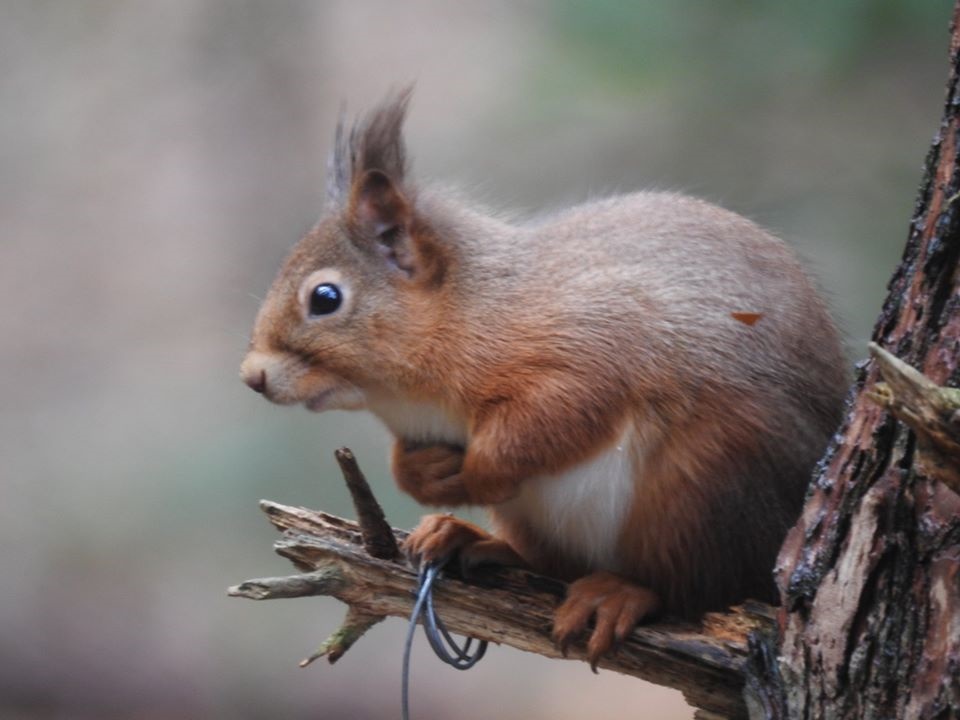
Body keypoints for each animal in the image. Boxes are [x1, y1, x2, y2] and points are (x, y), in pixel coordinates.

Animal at [240, 89, 848, 668]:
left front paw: (476, 473)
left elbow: (552, 419)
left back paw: (620, 593)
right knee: (552, 563)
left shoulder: (591, 347)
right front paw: (424, 474)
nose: (252, 376)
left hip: (703, 483)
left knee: (698, 588)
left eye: (325, 298)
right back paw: (467, 537)